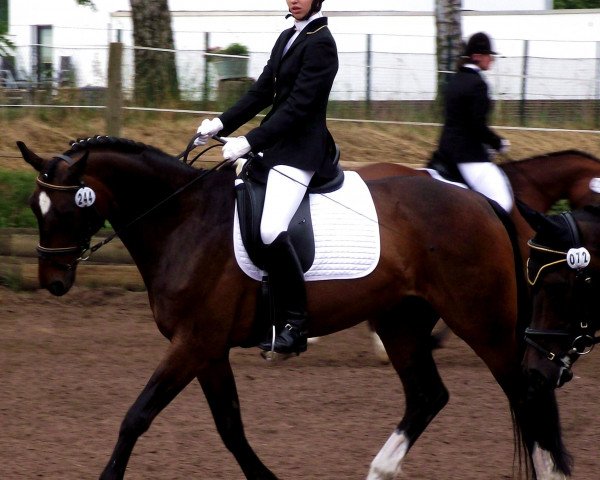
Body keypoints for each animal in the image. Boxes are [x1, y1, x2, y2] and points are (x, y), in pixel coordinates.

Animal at [16, 137, 568, 480]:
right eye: (33, 207)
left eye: (66, 208)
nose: (53, 282)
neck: (184, 219)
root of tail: (481, 204)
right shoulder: (208, 350)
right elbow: (231, 429)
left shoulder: (193, 343)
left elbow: (136, 417)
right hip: (401, 322)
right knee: (427, 395)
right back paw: (380, 469)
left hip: (483, 322)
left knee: (527, 396)